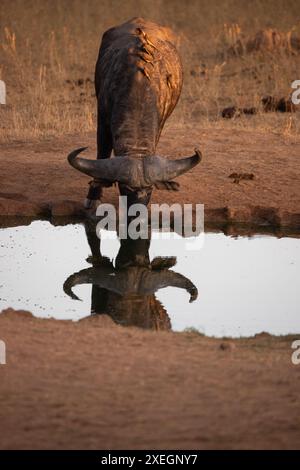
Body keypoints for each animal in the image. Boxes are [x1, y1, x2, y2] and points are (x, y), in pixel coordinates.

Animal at [67, 17, 200, 207]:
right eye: (125, 187)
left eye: (150, 189)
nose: (137, 210)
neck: (139, 88)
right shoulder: (103, 120)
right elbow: (102, 153)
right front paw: (93, 197)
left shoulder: (160, 123)